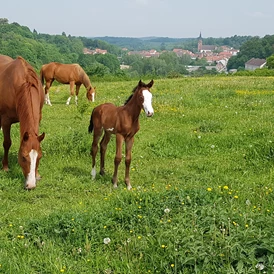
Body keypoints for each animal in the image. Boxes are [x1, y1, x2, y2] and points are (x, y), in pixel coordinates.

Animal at [0, 54, 45, 189]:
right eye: (24, 157)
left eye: (39, 157)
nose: (31, 185)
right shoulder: (6, 121)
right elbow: (7, 143)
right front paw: (5, 167)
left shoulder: (38, 117)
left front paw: (37, 174)